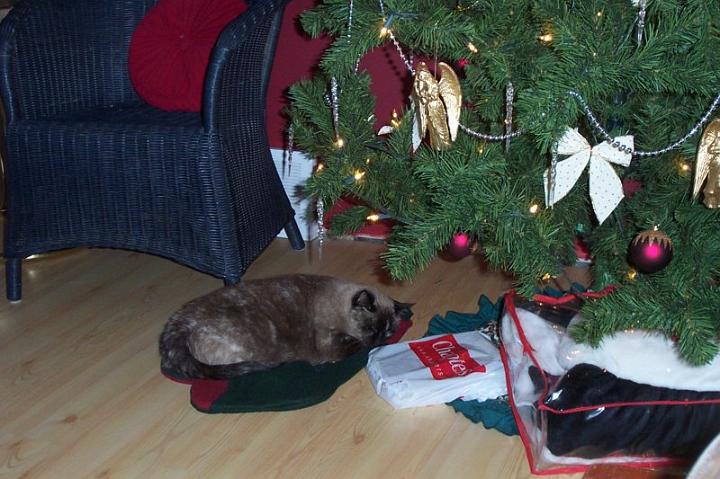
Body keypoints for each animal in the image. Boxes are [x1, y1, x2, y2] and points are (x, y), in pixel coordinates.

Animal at [162, 276, 410, 380]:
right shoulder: (332, 344)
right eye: (371, 329)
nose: (380, 340)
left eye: (388, 331)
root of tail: (180, 321)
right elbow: (354, 345)